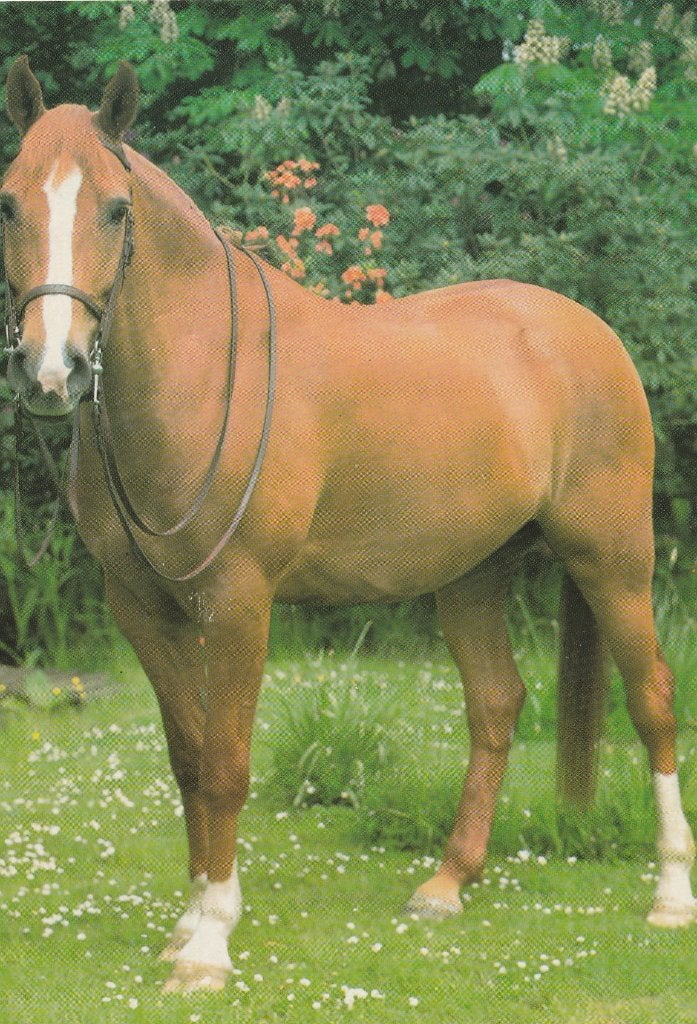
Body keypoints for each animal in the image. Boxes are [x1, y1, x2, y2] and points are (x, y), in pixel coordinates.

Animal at [2, 57, 694, 993]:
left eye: (115, 208)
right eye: (10, 203)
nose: (53, 371)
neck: (199, 375)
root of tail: (584, 331)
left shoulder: (238, 603)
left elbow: (225, 766)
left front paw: (211, 941)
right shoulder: (141, 607)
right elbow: (187, 759)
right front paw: (186, 924)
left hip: (612, 559)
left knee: (651, 700)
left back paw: (669, 892)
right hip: (471, 573)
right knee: (496, 705)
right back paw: (447, 884)